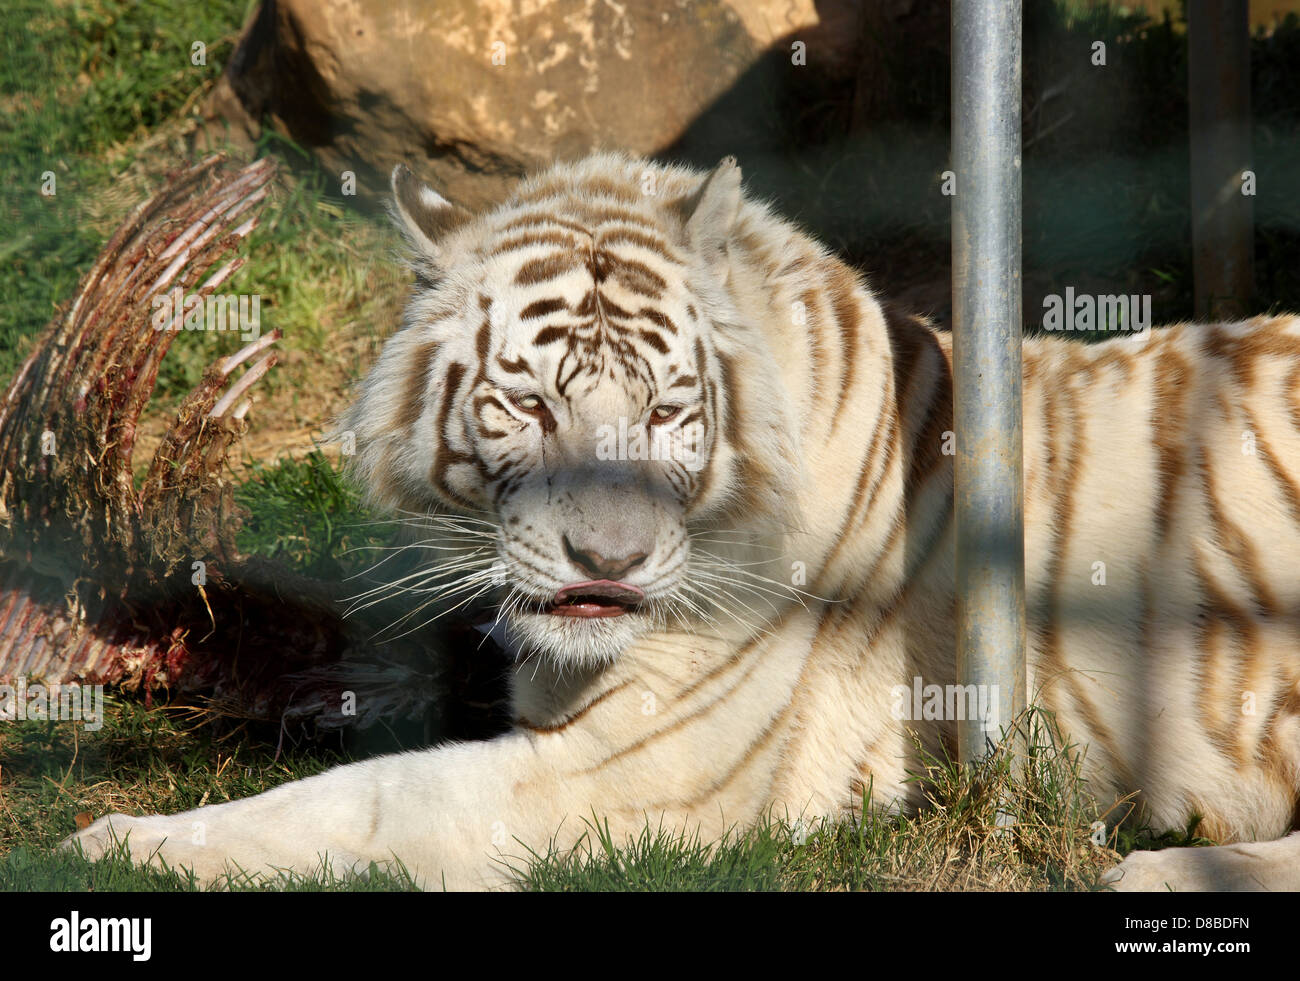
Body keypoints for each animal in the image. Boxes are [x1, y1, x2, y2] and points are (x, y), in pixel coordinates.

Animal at [65, 151, 1300, 888]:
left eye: (665, 412)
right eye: (530, 405)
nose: (606, 559)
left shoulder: (643, 770)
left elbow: (368, 800)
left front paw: (122, 842)